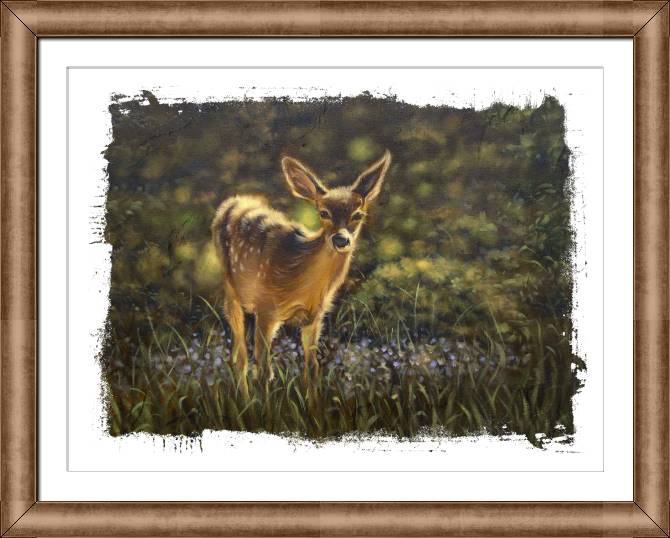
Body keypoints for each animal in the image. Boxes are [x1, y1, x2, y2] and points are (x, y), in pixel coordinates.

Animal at [211, 150, 391, 398]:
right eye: (323, 213)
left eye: (358, 214)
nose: (341, 240)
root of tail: (234, 201)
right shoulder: (265, 308)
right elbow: (264, 371)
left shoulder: (315, 317)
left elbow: (312, 368)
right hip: (231, 292)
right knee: (240, 357)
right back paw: (245, 401)